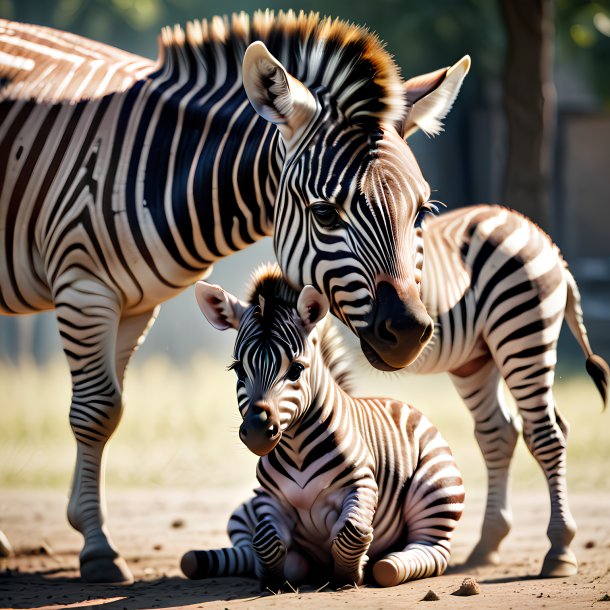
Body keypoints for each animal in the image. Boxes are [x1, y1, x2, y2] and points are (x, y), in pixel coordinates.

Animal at [183, 264, 464, 584]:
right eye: (238, 369)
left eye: (296, 370)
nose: (256, 432)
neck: (297, 449)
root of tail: (402, 404)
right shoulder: (267, 499)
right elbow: (264, 540)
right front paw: (270, 578)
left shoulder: (363, 485)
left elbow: (352, 532)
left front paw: (350, 573)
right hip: (244, 509)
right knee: (244, 544)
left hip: (435, 489)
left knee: (432, 550)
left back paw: (388, 564)